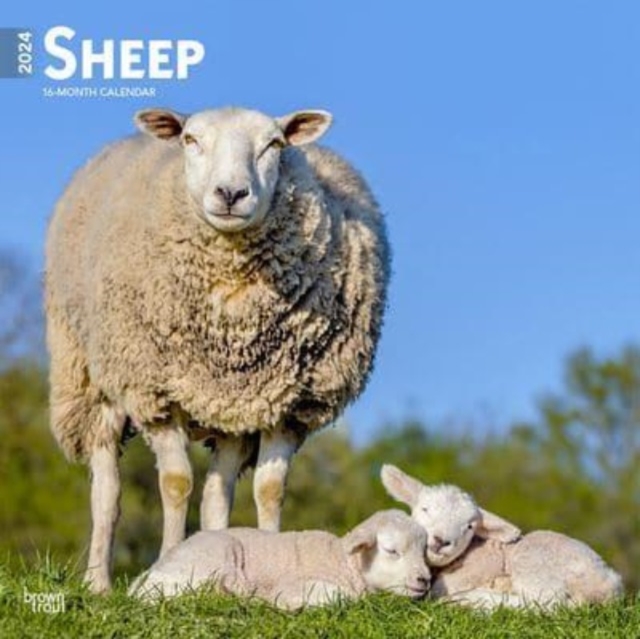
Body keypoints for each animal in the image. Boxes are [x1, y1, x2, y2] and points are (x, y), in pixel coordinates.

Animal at [45, 106, 390, 593]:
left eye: (274, 144)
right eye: (191, 140)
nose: (231, 193)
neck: (234, 294)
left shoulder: (286, 405)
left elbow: (269, 490)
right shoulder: (155, 393)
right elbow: (175, 484)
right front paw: (167, 562)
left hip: (230, 412)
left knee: (215, 493)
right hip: (93, 379)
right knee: (107, 489)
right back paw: (99, 583)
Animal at [128, 510, 431, 610]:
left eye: (424, 550)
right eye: (392, 551)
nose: (425, 580)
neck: (343, 562)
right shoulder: (297, 584)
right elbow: (345, 597)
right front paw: (290, 604)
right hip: (217, 556)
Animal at [381, 465, 623, 609]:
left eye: (469, 526)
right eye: (425, 509)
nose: (441, 541)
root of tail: (606, 584)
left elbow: (437, 591)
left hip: (533, 563)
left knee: (546, 605)